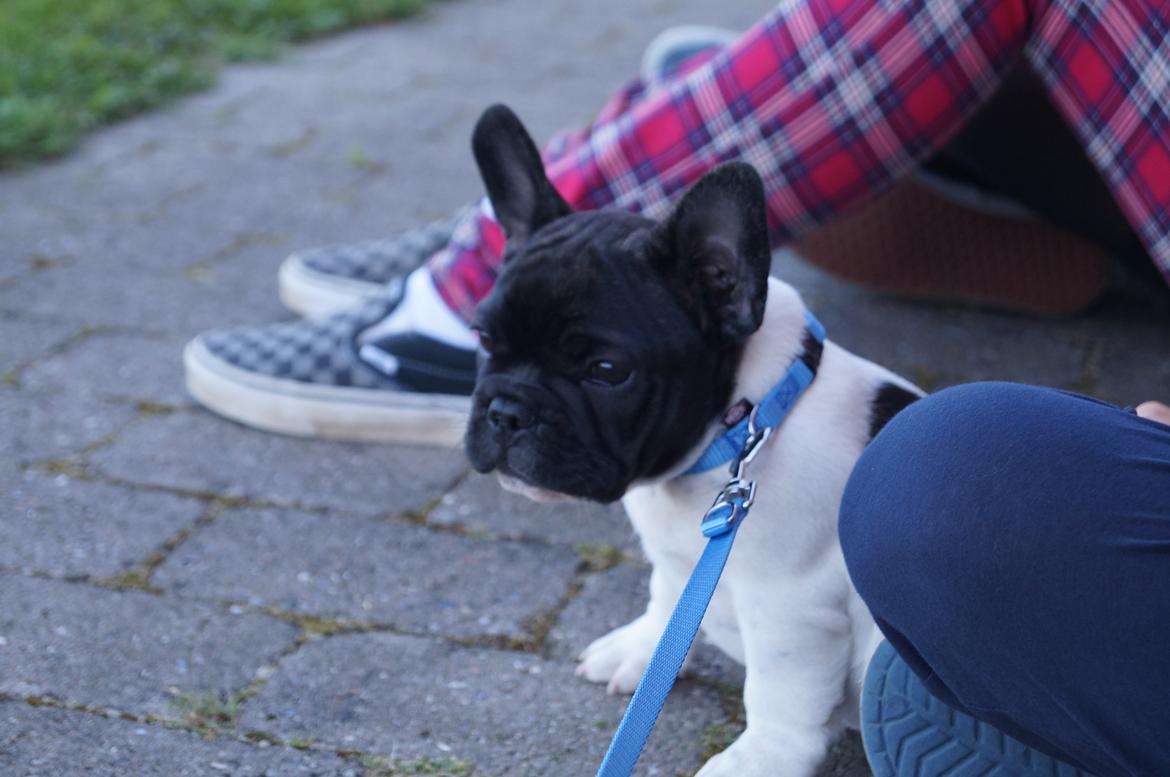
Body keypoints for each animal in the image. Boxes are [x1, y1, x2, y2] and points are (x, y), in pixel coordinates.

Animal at [460, 104, 917, 777]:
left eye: (606, 371)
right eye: (485, 339)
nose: (506, 411)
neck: (738, 431)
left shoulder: (792, 608)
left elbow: (780, 692)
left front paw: (760, 757)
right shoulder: (680, 560)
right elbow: (666, 599)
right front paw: (641, 648)